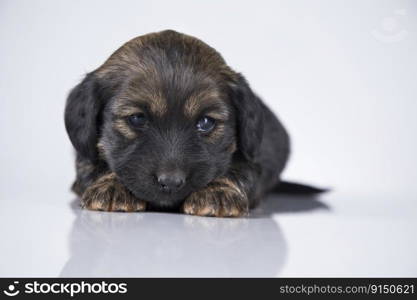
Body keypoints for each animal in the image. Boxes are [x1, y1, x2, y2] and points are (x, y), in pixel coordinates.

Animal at [64, 29, 322, 217]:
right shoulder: (83, 160)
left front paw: (218, 192)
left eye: (206, 122)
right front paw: (111, 187)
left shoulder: (254, 161)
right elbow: (93, 168)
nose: (170, 183)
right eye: (137, 118)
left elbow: (238, 170)